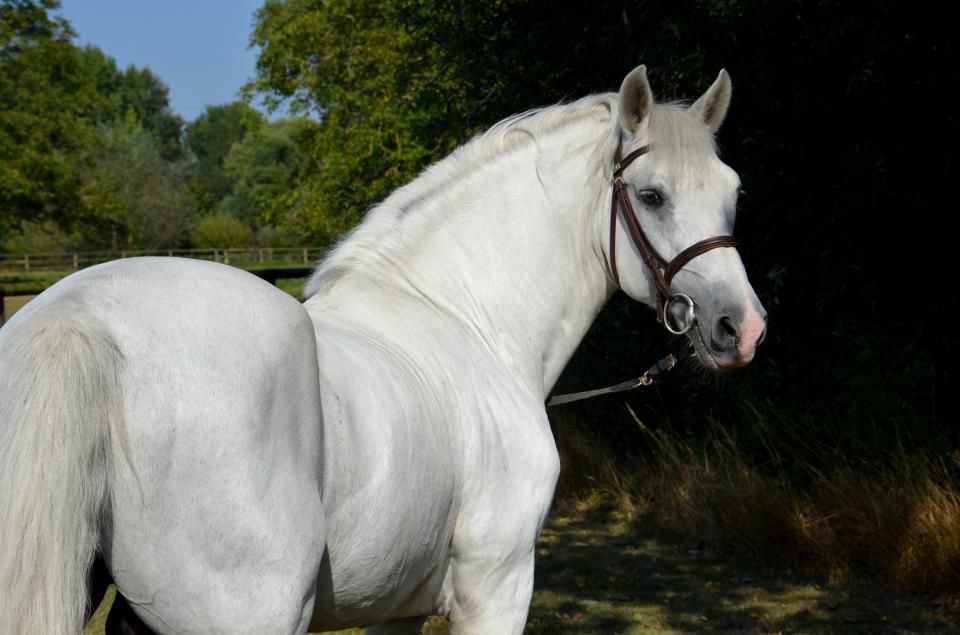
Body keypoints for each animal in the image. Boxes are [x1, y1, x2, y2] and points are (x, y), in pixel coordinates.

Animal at [0, 65, 766, 634]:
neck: (466, 319)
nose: (742, 328)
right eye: (652, 195)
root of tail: (75, 319)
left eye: (734, 191)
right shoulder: (498, 587)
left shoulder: (397, 607)